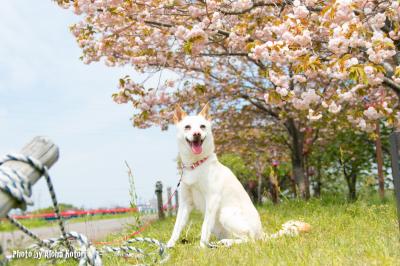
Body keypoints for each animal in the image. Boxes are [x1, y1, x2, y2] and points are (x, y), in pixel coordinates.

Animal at [167, 103, 310, 248]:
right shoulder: (185, 203)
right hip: (218, 225)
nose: (197, 134)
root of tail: (262, 234)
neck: (195, 165)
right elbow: (176, 227)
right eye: (187, 127)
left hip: (225, 213)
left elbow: (204, 227)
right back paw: (219, 243)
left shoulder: (212, 200)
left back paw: (226, 243)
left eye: (202, 126)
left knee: (249, 239)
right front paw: (169, 246)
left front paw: (201, 247)